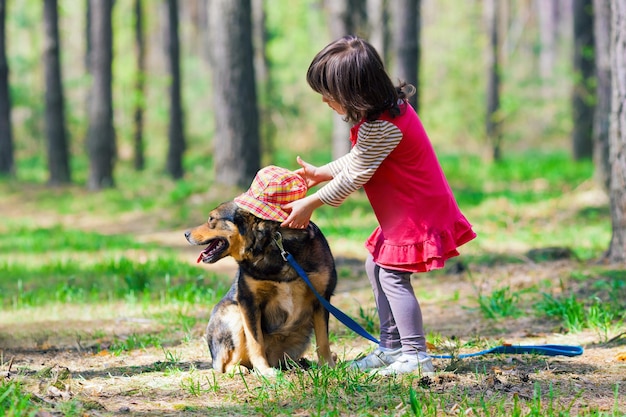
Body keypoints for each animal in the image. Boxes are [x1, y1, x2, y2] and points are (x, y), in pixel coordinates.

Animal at [183, 201, 334, 374]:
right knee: (225, 365)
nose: (186, 233)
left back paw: (302, 364)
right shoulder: (248, 301)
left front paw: (328, 367)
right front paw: (264, 371)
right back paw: (241, 369)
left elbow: (323, 341)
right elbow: (255, 341)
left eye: (211, 219)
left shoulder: (322, 298)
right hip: (233, 312)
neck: (271, 244)